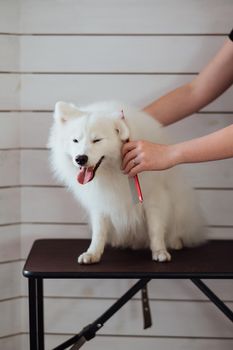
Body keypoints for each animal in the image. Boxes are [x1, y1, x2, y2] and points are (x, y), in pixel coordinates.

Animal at [48, 100, 205, 262]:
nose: (80, 158)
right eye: (75, 140)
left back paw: (176, 242)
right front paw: (93, 253)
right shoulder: (100, 202)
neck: (113, 172)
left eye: (97, 140)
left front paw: (159, 251)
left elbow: (155, 228)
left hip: (180, 208)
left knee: (178, 229)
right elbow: (99, 231)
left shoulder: (154, 198)